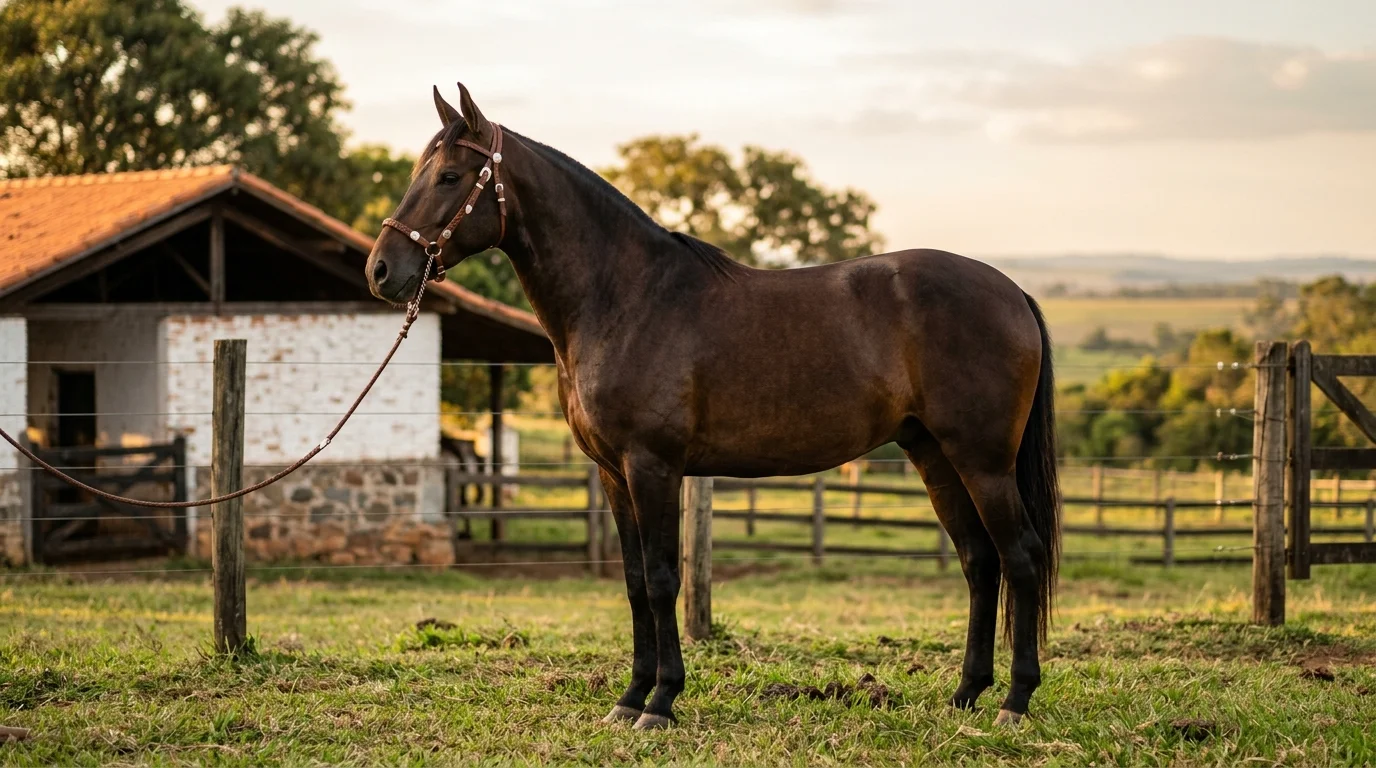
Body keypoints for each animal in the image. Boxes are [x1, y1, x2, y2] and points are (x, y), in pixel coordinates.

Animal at [366, 84, 1061, 730]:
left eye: (450, 177)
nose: (380, 271)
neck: (627, 298)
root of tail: (1012, 291)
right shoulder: (613, 473)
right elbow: (634, 582)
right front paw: (629, 698)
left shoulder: (653, 466)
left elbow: (663, 578)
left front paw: (661, 703)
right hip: (934, 454)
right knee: (979, 560)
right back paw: (966, 694)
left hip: (982, 461)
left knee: (1021, 556)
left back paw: (1015, 701)